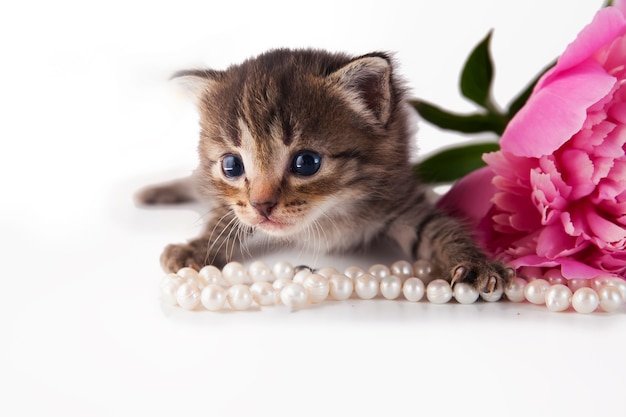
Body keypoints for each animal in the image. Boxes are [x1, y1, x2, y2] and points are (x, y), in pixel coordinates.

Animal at [138, 48, 512, 292]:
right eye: (231, 165)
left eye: (307, 163)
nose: (262, 206)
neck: (330, 214)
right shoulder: (233, 204)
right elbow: (224, 217)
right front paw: (197, 247)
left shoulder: (402, 200)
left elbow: (441, 229)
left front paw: (475, 263)